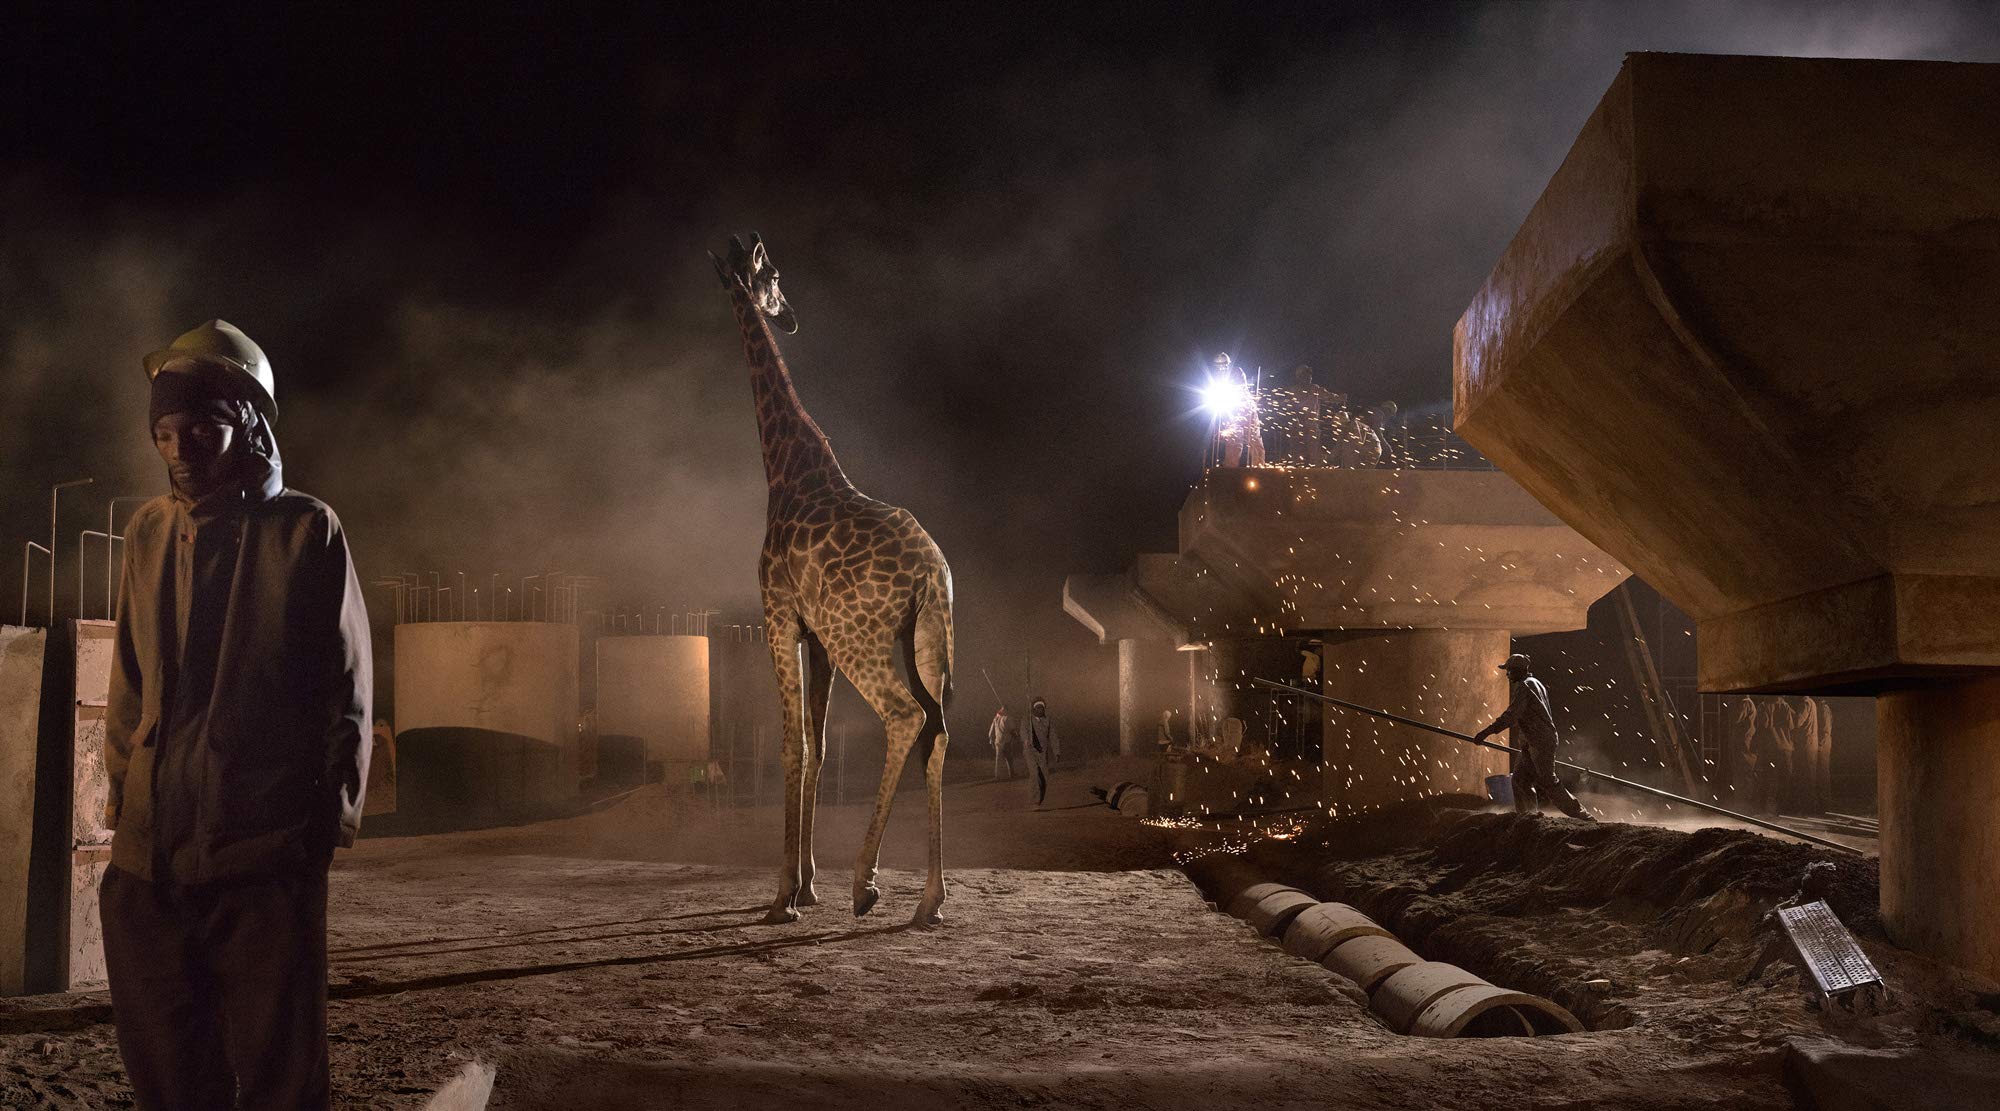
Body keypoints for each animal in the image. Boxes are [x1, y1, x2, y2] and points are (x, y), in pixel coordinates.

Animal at [708, 231, 956, 927]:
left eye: (771, 274)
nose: (788, 314)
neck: (787, 466)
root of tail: (932, 573)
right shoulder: (815, 636)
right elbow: (818, 745)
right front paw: (808, 885)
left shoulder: (779, 614)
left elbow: (792, 745)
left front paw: (784, 897)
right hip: (926, 639)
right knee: (938, 728)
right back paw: (929, 900)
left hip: (860, 639)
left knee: (904, 716)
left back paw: (866, 886)